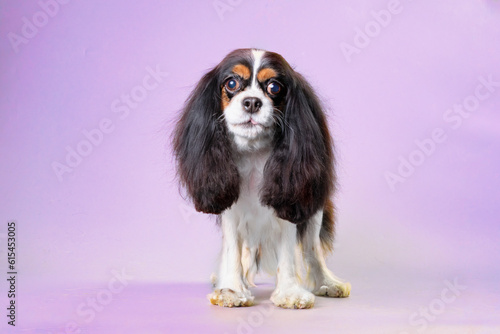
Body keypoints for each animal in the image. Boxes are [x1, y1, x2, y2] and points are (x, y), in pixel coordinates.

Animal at [174, 48, 350, 310]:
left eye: (274, 87)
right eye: (232, 83)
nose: (252, 102)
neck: (254, 153)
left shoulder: (291, 202)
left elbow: (290, 251)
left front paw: (290, 292)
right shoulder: (230, 209)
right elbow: (232, 251)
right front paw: (231, 289)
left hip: (315, 210)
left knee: (312, 249)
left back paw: (328, 282)